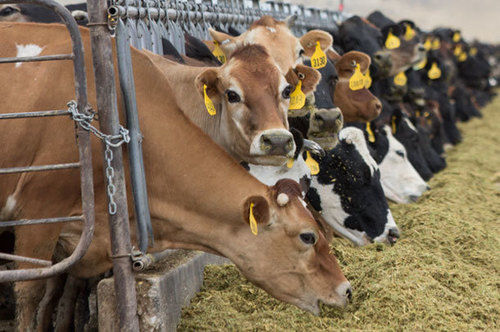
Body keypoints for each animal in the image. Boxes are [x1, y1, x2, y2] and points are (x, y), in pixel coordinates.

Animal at [0, 22, 352, 330]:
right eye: (308, 236)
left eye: (286, 89)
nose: (346, 289)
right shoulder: (40, 212)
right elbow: (31, 292)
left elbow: (64, 287)